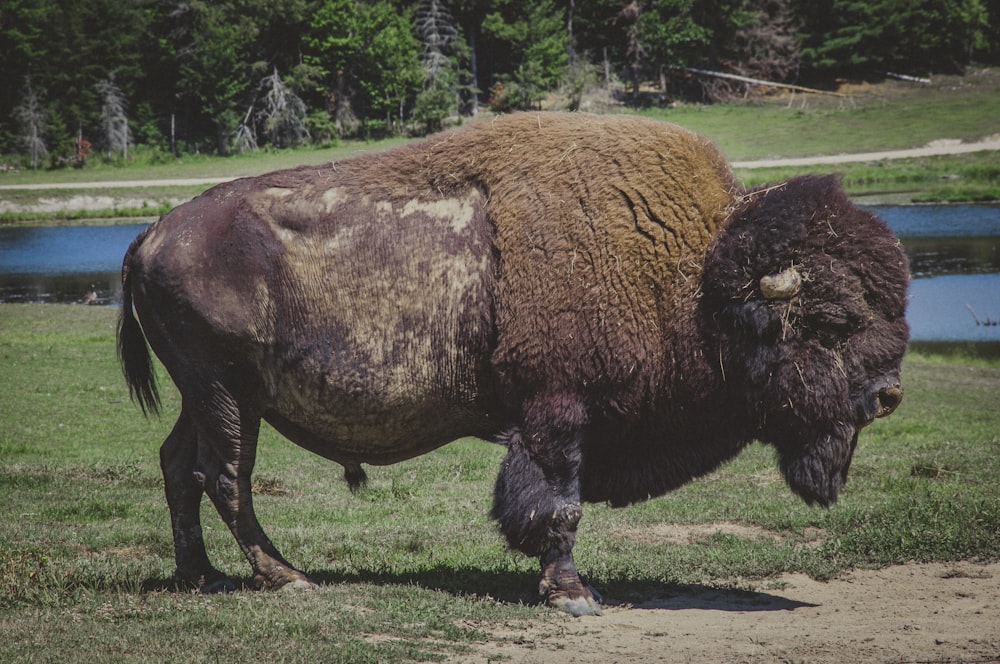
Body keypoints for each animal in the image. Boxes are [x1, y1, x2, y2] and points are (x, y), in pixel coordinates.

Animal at [117, 111, 908, 616]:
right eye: (835, 321)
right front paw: (574, 596)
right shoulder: (557, 414)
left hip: (204, 395)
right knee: (225, 475)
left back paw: (204, 577)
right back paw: (286, 578)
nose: (888, 395)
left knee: (177, 466)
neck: (699, 278)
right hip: (224, 389)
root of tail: (150, 235)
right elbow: (558, 504)